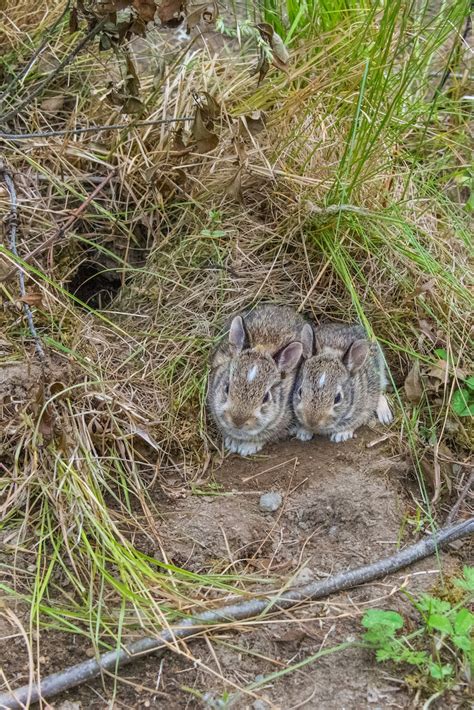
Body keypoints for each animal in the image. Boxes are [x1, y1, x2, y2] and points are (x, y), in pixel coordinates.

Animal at [207, 304, 308, 456]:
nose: (238, 421)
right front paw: (233, 442)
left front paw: (247, 448)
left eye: (266, 397)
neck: (263, 347)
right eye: (227, 388)